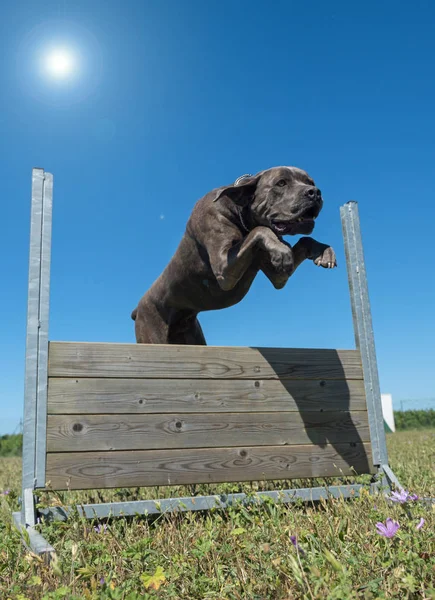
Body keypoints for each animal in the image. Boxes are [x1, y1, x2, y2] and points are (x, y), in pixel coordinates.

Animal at [132, 166, 338, 344]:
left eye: (310, 182)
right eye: (281, 183)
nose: (315, 192)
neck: (241, 212)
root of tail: (137, 309)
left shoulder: (278, 276)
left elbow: (304, 241)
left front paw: (324, 253)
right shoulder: (224, 269)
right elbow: (259, 230)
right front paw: (281, 250)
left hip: (192, 337)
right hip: (152, 332)